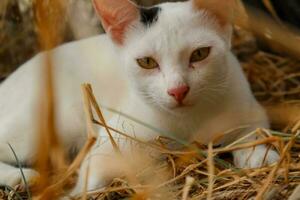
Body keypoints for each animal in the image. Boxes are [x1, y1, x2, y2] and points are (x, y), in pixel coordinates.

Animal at [0, 0, 278, 195]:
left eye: (200, 54)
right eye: (146, 62)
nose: (178, 90)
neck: (186, 123)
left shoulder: (247, 105)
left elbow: (254, 130)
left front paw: (260, 154)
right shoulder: (115, 134)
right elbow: (95, 171)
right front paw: (79, 192)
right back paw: (20, 178)